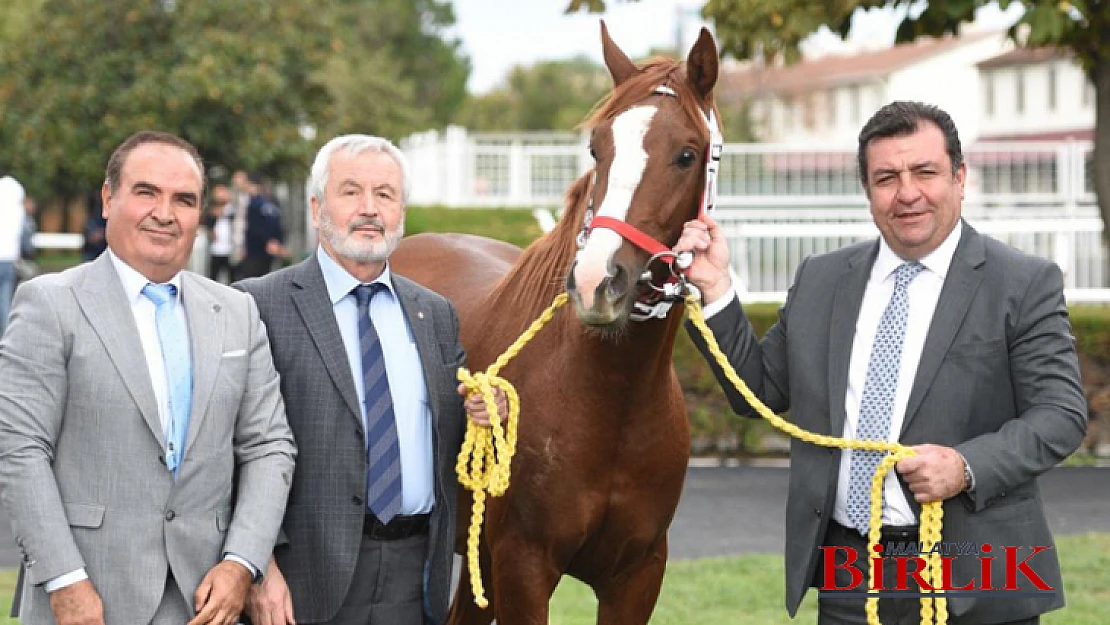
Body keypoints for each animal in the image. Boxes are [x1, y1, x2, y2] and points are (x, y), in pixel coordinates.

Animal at [388, 23, 719, 625]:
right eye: (596, 147)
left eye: (687, 154)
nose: (595, 280)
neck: (611, 398)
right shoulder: (524, 565)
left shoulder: (638, 575)